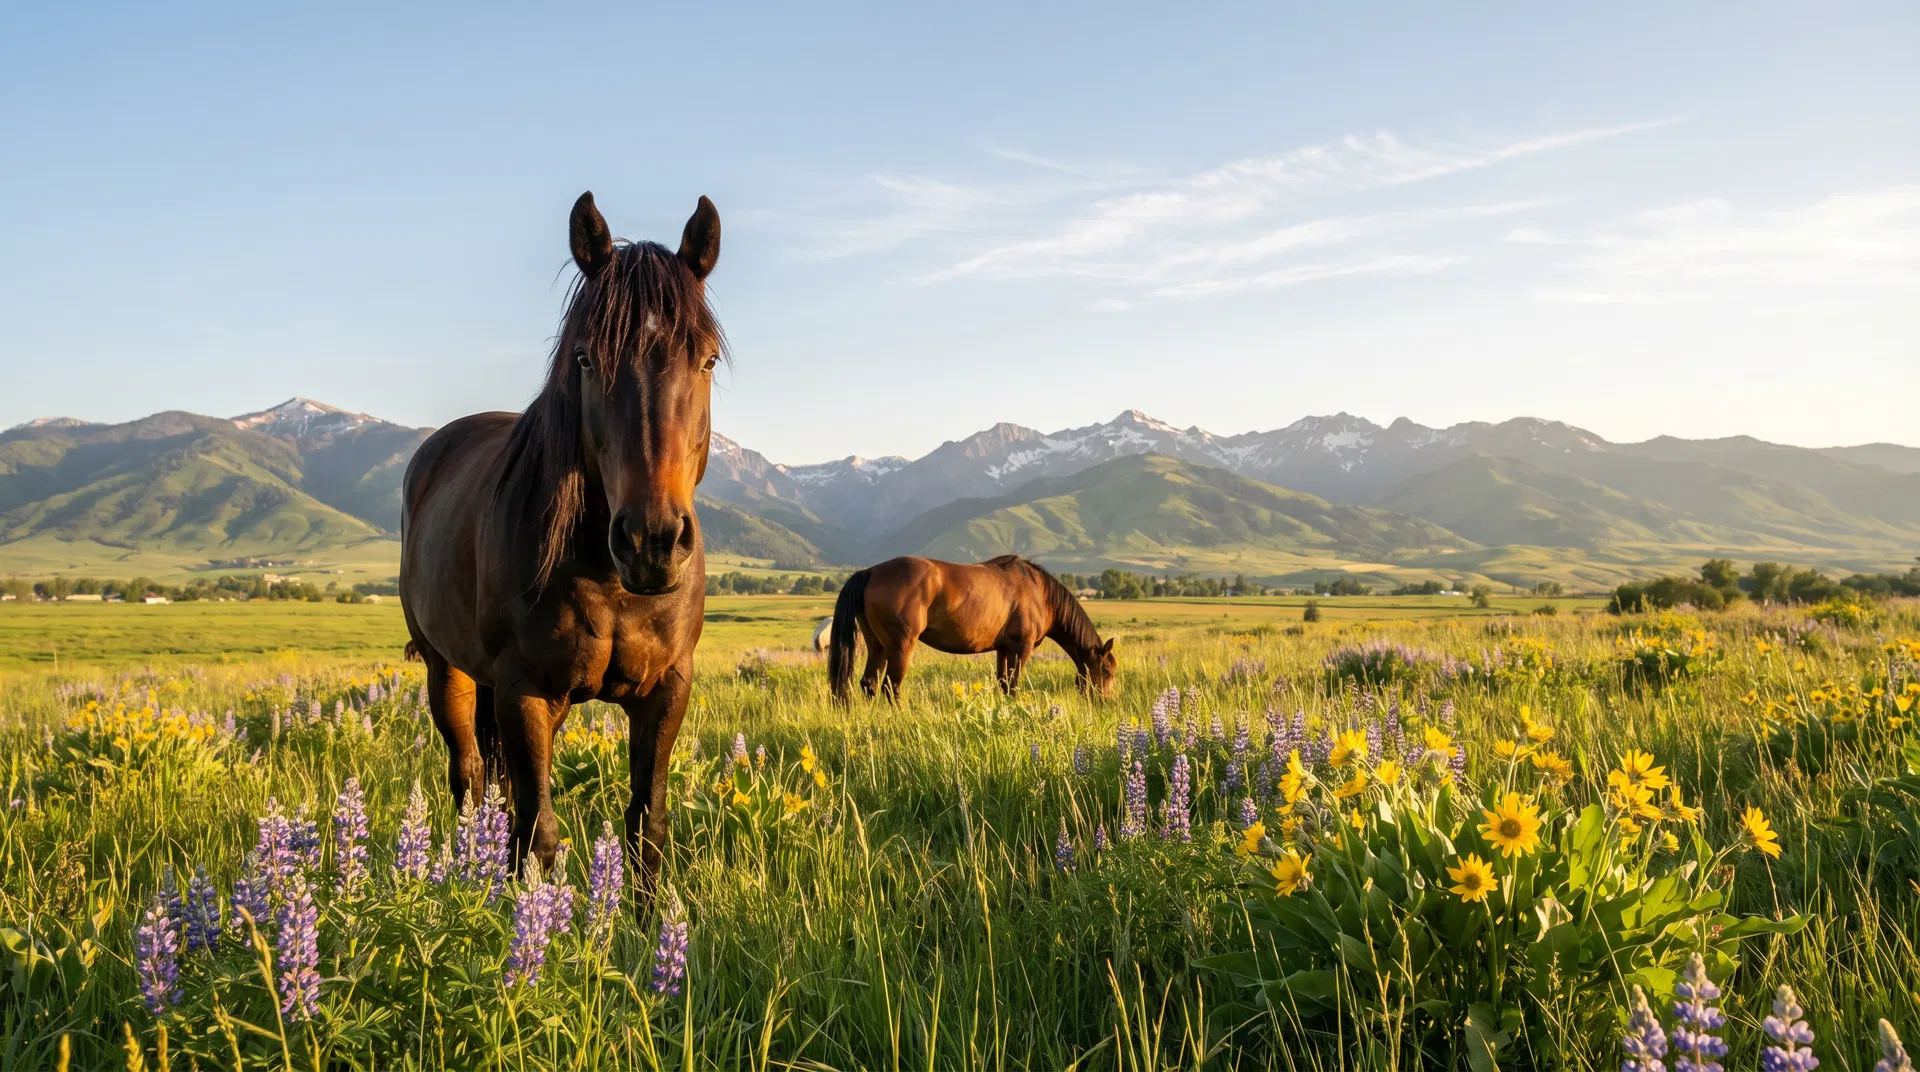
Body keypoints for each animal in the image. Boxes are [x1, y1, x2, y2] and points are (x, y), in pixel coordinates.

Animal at [399, 191, 723, 903]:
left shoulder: (666, 689)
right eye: (585, 358)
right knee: (468, 777)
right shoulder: (524, 689)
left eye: (708, 358)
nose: (652, 542)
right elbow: (537, 834)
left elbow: (646, 826)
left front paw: (645, 921)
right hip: (448, 670)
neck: (606, 577)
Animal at [828, 555, 1117, 703]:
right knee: (891, 686)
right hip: (900, 647)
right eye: (1107, 670)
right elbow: (1014, 685)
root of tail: (870, 572)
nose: (1107, 701)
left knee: (869, 683)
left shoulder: (1004, 649)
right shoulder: (1022, 648)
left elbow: (1004, 684)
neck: (1041, 592)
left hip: (878, 646)